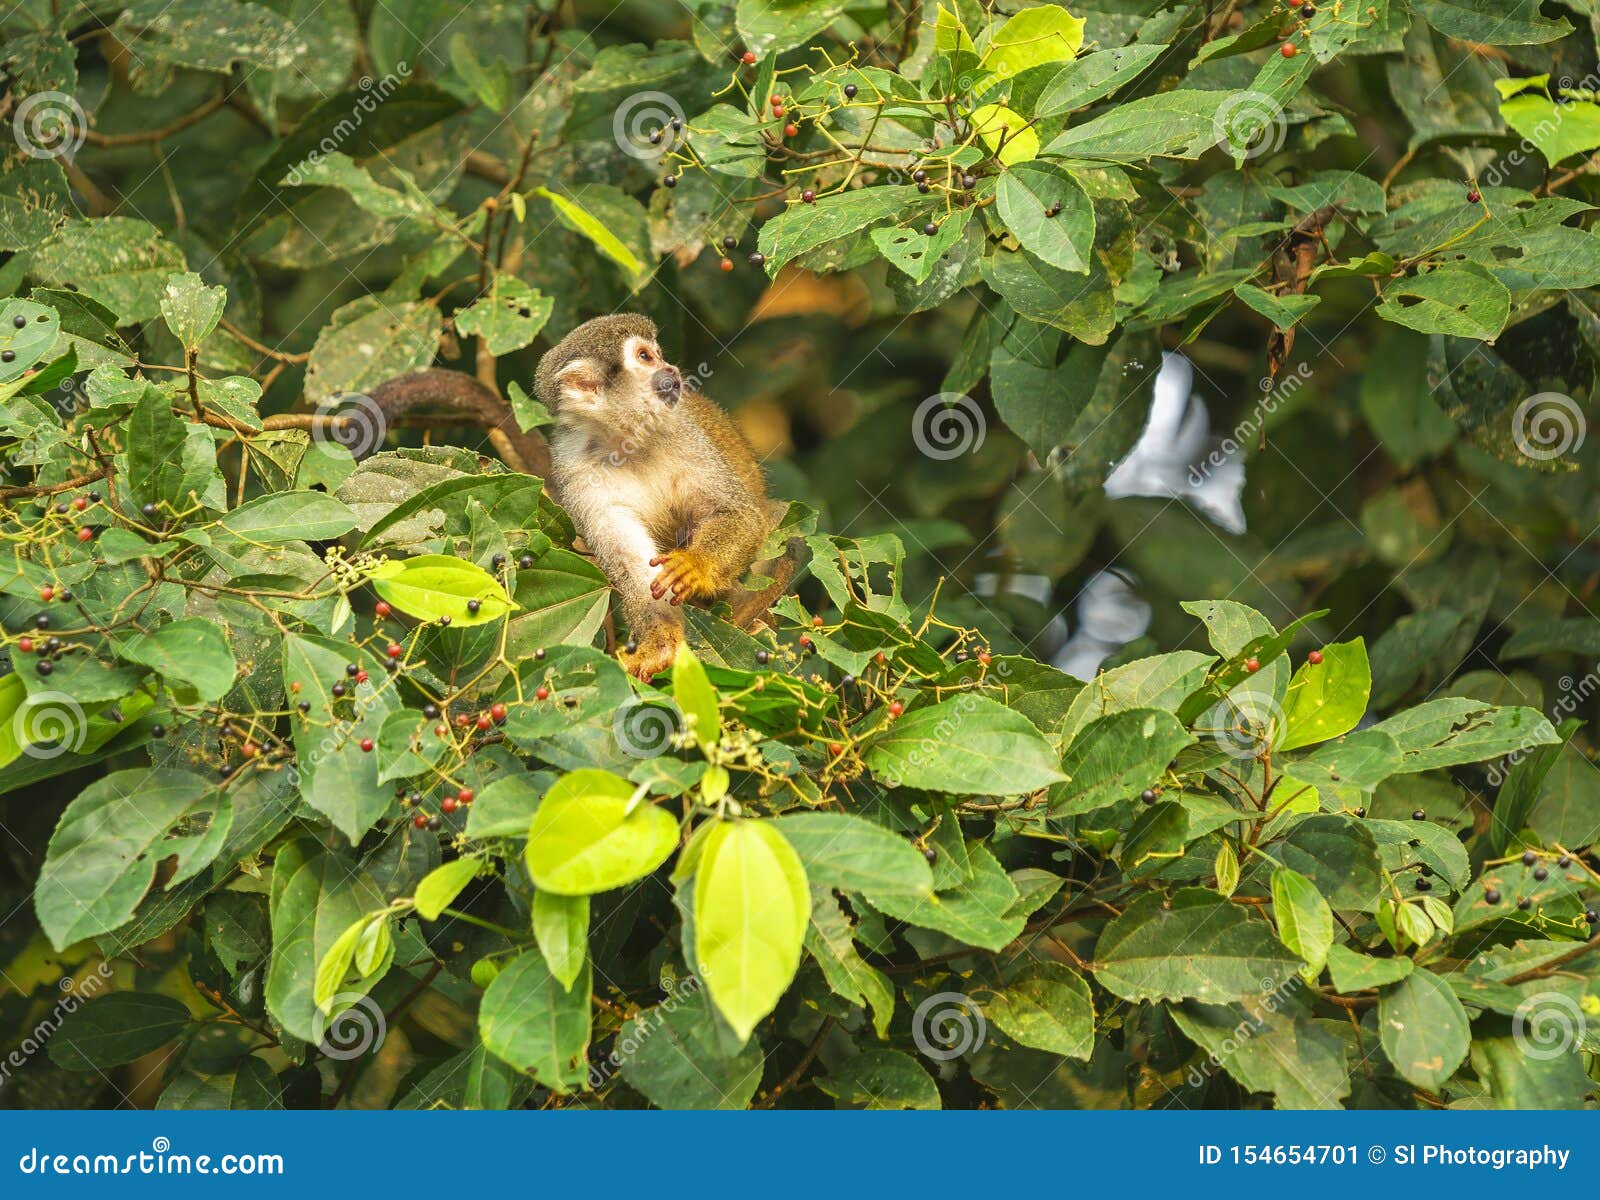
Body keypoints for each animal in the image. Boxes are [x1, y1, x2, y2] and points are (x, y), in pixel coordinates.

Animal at [534, 315, 777, 681]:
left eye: (657, 354)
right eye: (645, 357)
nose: (671, 369)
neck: (626, 441)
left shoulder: (684, 432)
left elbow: (739, 514)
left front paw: (695, 565)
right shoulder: (576, 471)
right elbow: (629, 562)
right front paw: (660, 643)